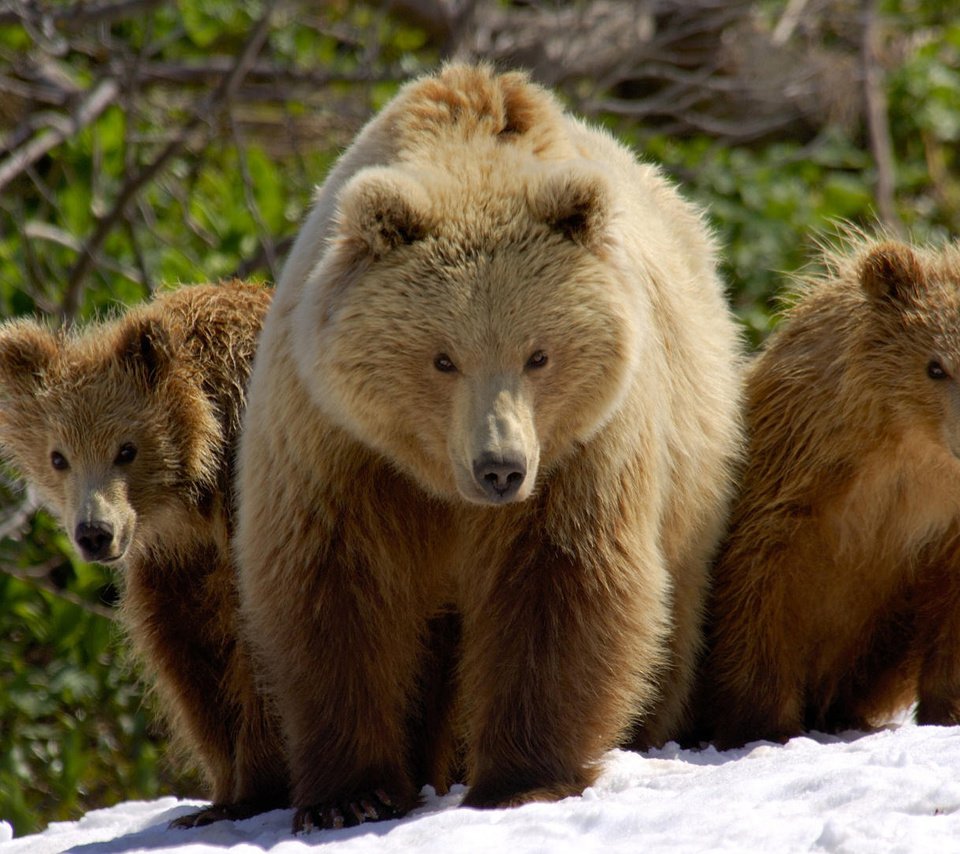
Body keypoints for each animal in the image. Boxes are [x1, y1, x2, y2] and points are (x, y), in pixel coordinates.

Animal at [0, 282, 286, 828]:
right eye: (59, 457)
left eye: (126, 449)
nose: (95, 533)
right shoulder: (175, 565)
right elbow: (187, 658)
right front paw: (219, 795)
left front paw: (255, 790)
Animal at [234, 61, 744, 836]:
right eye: (442, 358)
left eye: (539, 354)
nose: (499, 467)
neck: (437, 479)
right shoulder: (337, 445)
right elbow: (334, 591)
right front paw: (351, 794)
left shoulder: (581, 449)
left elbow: (560, 582)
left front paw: (523, 779)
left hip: (692, 468)